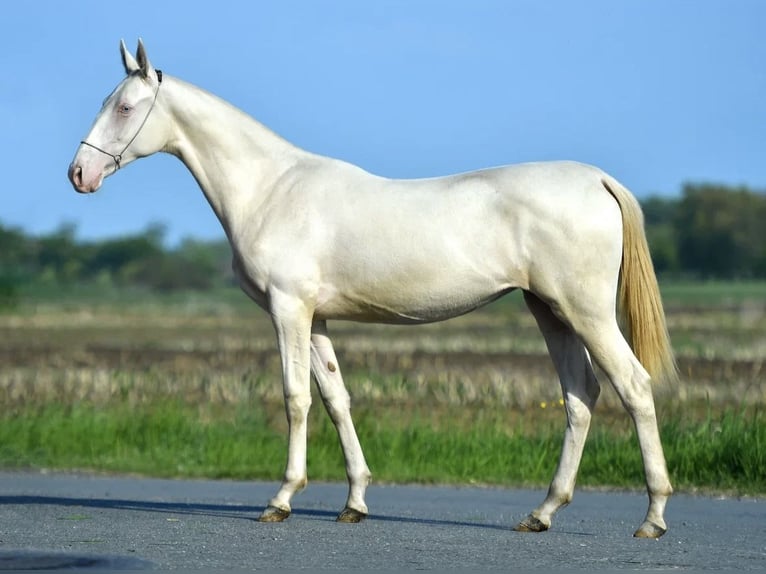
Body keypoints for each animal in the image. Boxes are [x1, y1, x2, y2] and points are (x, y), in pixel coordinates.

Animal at [67, 39, 680, 540]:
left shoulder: (288, 310)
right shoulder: (316, 319)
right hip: (549, 310)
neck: (271, 188)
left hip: (586, 312)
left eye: (124, 107)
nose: (78, 174)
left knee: (633, 387)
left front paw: (281, 500)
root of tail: (597, 180)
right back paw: (543, 512)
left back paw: (652, 516)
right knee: (580, 397)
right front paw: (354, 503)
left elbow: (295, 398)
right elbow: (337, 399)